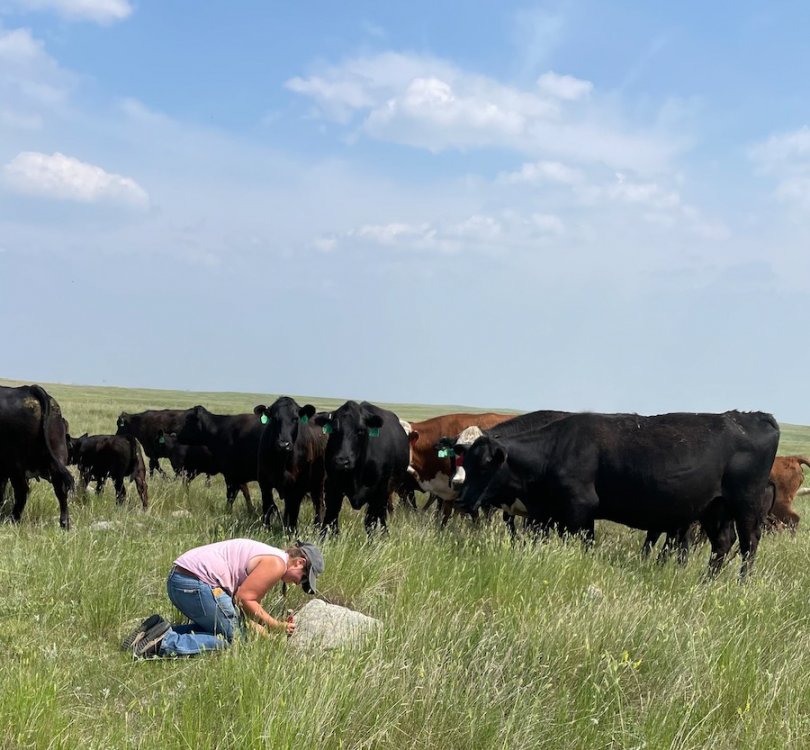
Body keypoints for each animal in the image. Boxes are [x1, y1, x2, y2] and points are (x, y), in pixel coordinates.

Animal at [0, 388, 73, 528]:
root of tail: (28, 388)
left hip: (15, 465)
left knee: (22, 491)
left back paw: (13, 520)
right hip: (58, 456)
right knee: (61, 489)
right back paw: (64, 523)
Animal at [254, 396, 326, 532]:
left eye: (295, 418)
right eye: (274, 418)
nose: (284, 444)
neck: (281, 463)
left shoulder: (298, 486)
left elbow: (294, 511)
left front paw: (292, 532)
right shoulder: (264, 482)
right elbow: (268, 506)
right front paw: (266, 529)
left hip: (319, 482)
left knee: (318, 505)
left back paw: (318, 527)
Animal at [310, 400, 408, 536]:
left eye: (360, 430)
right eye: (334, 429)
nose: (342, 461)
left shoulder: (378, 491)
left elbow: (370, 522)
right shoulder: (332, 486)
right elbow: (330, 519)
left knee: (381, 515)